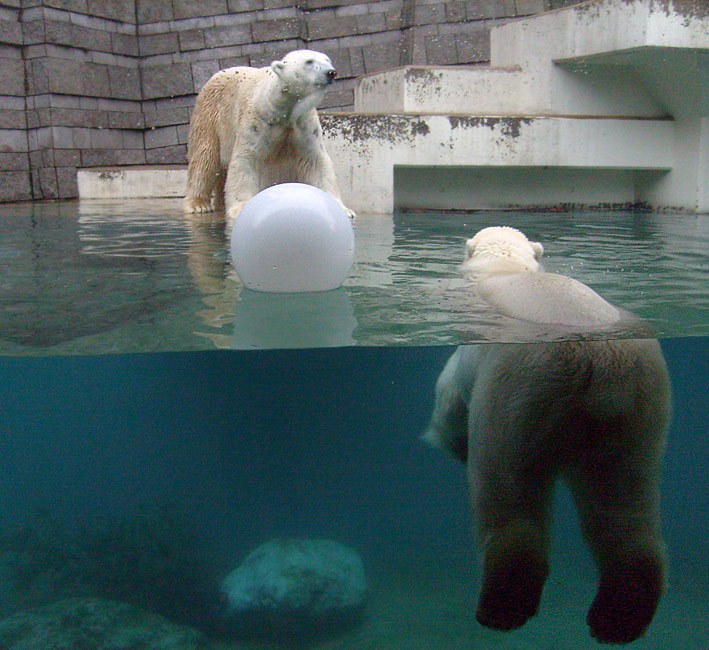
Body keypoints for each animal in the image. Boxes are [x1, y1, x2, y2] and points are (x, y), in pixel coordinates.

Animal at [180, 49, 352, 221]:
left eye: (328, 60)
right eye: (309, 61)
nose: (331, 72)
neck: (281, 109)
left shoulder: (303, 123)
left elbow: (316, 160)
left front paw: (344, 209)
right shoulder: (256, 121)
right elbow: (245, 158)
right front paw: (241, 207)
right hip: (209, 114)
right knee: (204, 157)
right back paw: (198, 204)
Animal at [426, 225, 668, 640]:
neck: (504, 266)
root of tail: (599, 369)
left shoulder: (474, 350)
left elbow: (451, 400)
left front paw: (449, 441)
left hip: (521, 392)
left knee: (507, 494)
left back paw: (502, 608)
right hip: (638, 411)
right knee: (623, 509)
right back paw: (618, 618)